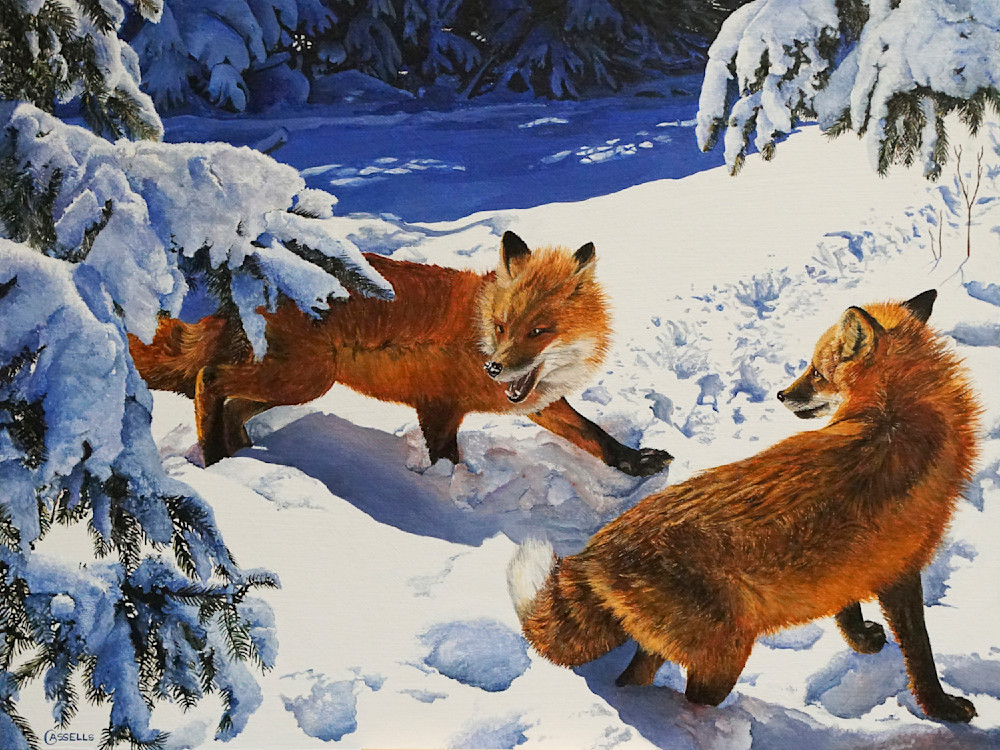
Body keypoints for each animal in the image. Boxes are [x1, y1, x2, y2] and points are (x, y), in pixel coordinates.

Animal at [128, 231, 673, 474]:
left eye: (539, 330)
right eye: (502, 327)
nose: (494, 366)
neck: (476, 332)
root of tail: (256, 276)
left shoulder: (531, 400)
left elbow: (594, 436)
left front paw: (635, 463)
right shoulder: (438, 407)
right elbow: (446, 461)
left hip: (297, 383)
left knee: (232, 403)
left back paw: (243, 454)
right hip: (301, 377)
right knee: (208, 381)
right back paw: (215, 460)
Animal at [508, 289, 982, 722]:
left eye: (815, 372)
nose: (782, 394)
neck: (894, 411)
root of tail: (594, 551)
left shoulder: (854, 563)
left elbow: (847, 612)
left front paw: (862, 640)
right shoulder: (900, 568)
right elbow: (921, 655)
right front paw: (942, 710)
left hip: (678, 646)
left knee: (632, 680)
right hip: (726, 656)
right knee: (695, 699)